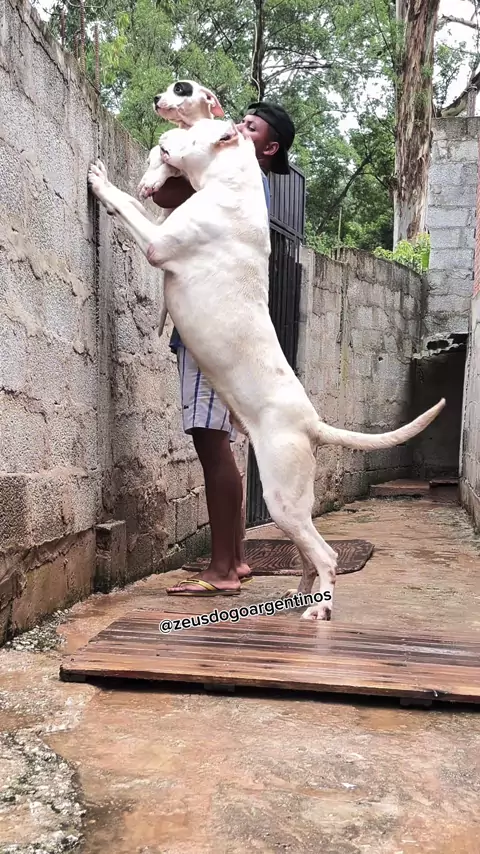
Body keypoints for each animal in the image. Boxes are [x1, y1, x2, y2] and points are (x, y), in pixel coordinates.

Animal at [87, 118, 446, 622]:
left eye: (193, 129)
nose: (164, 127)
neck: (231, 184)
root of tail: (312, 423)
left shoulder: (157, 244)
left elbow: (127, 204)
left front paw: (102, 182)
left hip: (281, 499)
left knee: (325, 555)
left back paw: (319, 612)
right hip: (293, 504)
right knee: (307, 556)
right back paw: (298, 596)